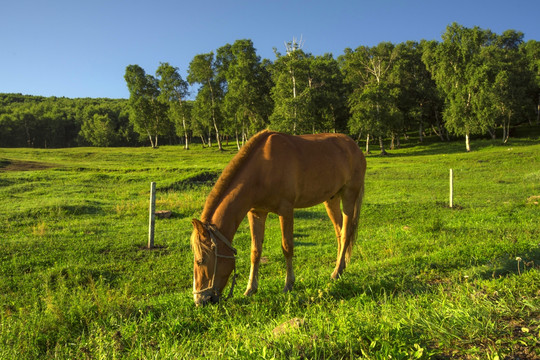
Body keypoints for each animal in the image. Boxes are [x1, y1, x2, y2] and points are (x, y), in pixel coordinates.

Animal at [190, 131, 368, 306]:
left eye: (201, 260)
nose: (199, 300)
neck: (262, 168)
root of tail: (355, 147)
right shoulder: (256, 213)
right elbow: (255, 251)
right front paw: (250, 289)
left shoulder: (286, 210)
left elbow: (287, 247)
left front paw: (288, 285)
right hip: (331, 199)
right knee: (339, 232)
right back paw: (341, 267)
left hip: (349, 195)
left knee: (345, 234)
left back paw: (336, 272)